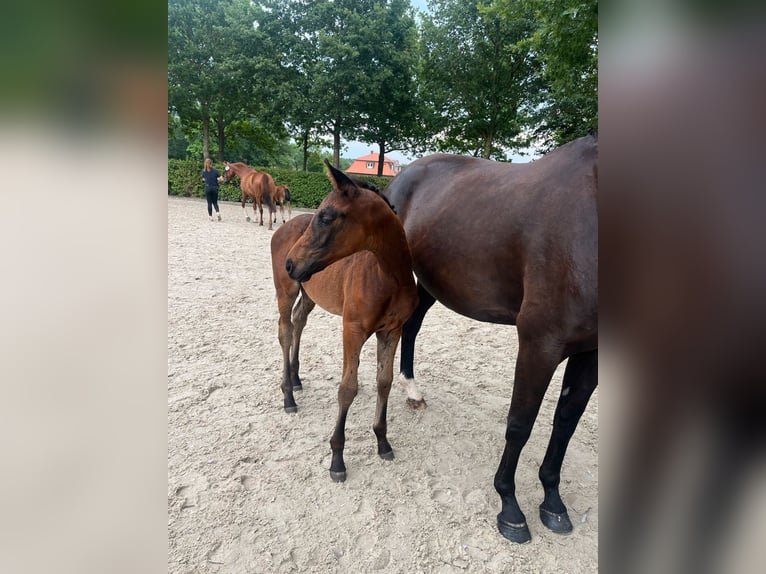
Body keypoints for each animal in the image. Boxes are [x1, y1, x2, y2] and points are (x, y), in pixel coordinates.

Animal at [272, 162, 420, 486]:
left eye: (326, 217)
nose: (290, 264)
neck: (388, 277)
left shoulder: (392, 331)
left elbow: (384, 381)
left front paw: (382, 441)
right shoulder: (352, 330)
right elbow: (347, 389)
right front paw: (337, 458)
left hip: (308, 292)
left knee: (299, 321)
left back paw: (296, 379)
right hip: (286, 290)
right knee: (285, 330)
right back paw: (288, 394)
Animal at [384, 133, 600, 548]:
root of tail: (403, 176)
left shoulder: (592, 352)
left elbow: (566, 421)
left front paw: (552, 500)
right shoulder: (539, 343)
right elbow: (520, 424)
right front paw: (510, 507)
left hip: (431, 284)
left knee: (411, 326)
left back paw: (412, 389)